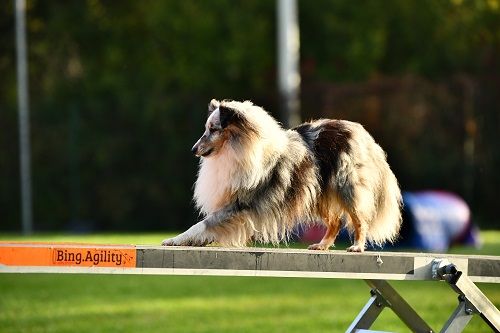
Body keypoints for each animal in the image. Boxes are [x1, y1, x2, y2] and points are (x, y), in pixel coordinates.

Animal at [164, 98, 402, 252]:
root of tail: (360, 132)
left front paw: (175, 240)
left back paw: (357, 246)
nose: (193, 149)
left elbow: (204, 223)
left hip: (346, 187)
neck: (238, 148)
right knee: (334, 221)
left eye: (213, 129)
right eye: (207, 128)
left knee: (360, 219)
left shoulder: (239, 204)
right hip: (317, 193)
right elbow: (207, 224)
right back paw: (321, 245)